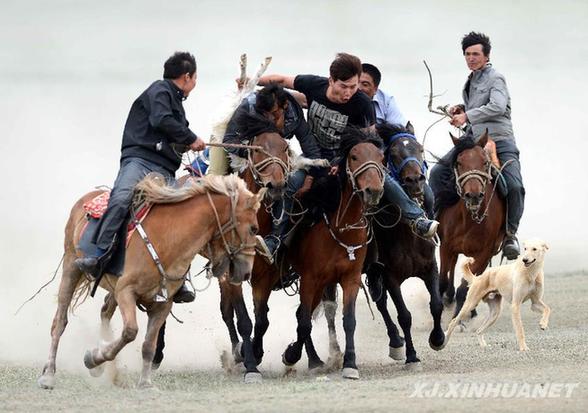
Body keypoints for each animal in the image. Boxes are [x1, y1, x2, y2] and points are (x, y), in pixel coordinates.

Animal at [38, 174, 262, 390]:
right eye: (253, 228)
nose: (245, 272)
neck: (167, 241)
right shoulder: (126, 292)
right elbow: (130, 332)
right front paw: (93, 358)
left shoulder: (163, 303)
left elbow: (148, 345)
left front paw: (144, 383)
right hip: (71, 267)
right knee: (59, 322)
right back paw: (48, 375)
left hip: (111, 287)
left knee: (105, 311)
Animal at [282, 127, 386, 378]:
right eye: (354, 157)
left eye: (381, 158)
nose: (373, 191)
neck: (341, 229)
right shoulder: (310, 278)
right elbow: (305, 323)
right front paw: (291, 354)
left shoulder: (350, 279)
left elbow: (349, 321)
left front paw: (350, 363)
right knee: (301, 317)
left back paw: (316, 359)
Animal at [368, 123, 446, 364]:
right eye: (392, 153)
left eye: (419, 148)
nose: (415, 180)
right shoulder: (391, 277)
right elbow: (404, 316)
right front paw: (411, 356)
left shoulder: (430, 267)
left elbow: (436, 305)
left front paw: (438, 339)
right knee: (381, 303)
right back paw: (396, 342)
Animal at [436, 130, 506, 320]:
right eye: (459, 162)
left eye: (485, 162)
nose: (473, 195)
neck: (468, 220)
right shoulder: (446, 246)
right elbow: (442, 281)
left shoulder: (484, 254)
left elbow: (465, 287)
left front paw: (459, 317)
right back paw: (448, 298)